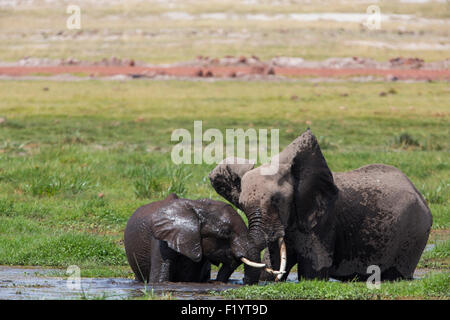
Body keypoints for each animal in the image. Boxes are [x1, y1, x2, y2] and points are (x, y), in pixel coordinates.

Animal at [211, 129, 432, 282]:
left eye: (276, 201)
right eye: (242, 205)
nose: (223, 279)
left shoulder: (323, 222)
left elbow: (314, 272)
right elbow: (271, 262)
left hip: (413, 236)